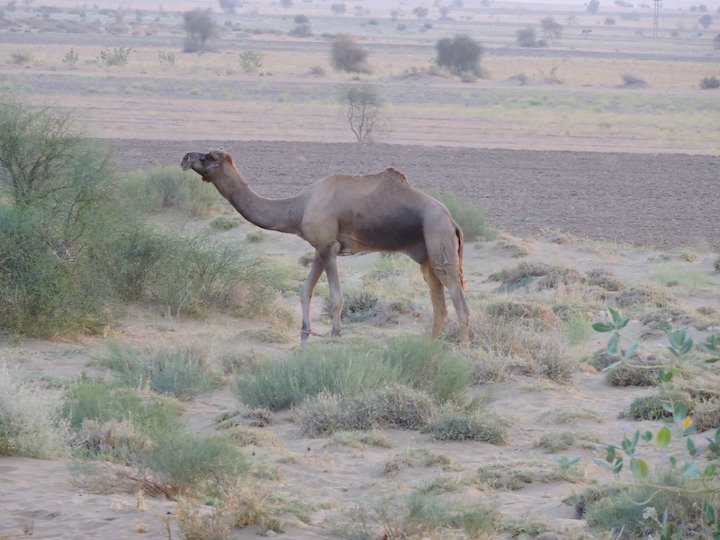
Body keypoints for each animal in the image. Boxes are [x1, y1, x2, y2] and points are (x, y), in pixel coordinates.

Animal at [183, 148, 470, 346]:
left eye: (209, 156)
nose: (185, 157)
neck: (298, 207)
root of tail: (453, 222)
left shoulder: (329, 246)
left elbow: (335, 296)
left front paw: (335, 333)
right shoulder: (319, 247)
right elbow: (304, 291)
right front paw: (304, 335)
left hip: (440, 244)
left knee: (460, 304)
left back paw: (464, 354)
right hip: (427, 259)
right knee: (440, 307)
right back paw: (428, 349)